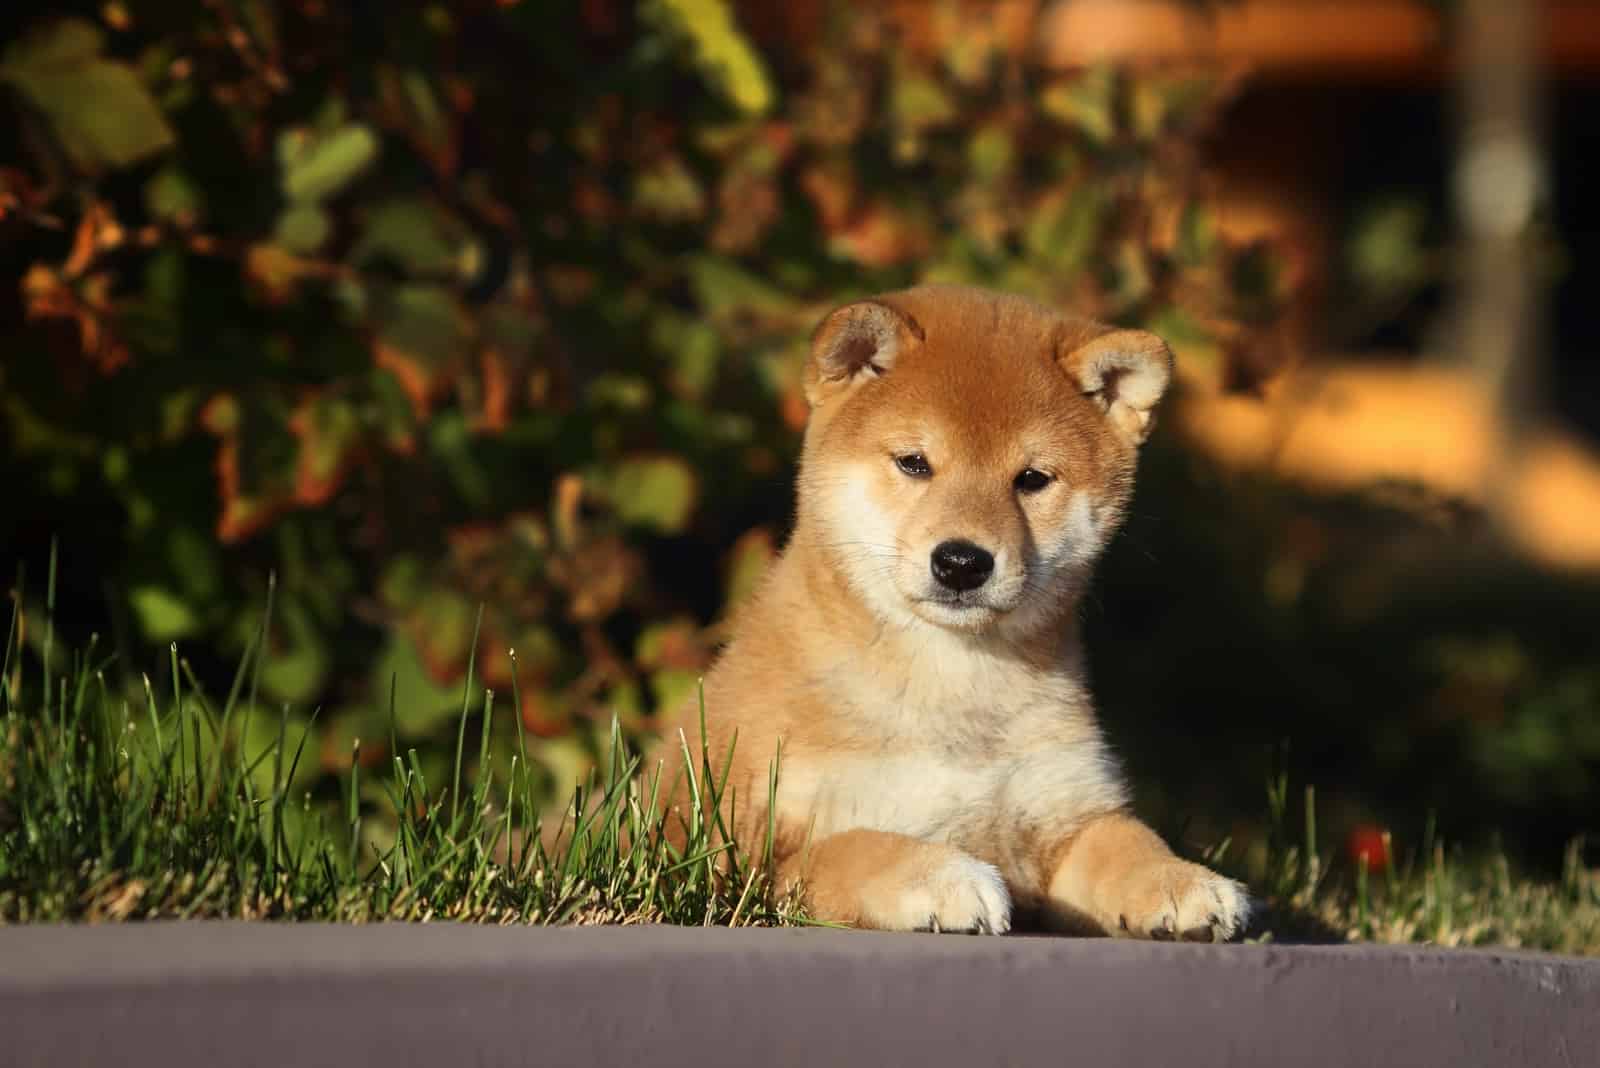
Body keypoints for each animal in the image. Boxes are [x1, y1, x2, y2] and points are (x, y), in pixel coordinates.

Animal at [659, 286, 1248, 940]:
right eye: (915, 462)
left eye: (1032, 479)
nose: (963, 562)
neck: (956, 686)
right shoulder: (752, 855)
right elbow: (853, 849)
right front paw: (941, 877)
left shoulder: (1061, 809)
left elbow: (1127, 840)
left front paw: (1182, 881)